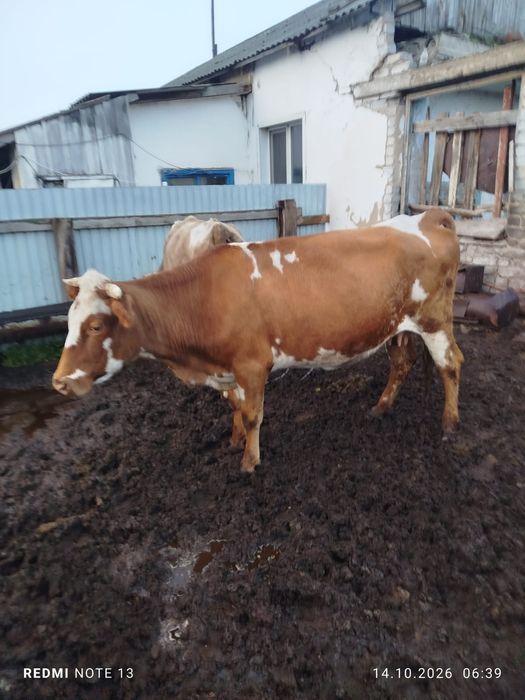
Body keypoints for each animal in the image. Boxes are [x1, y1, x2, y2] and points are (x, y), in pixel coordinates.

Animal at [52, 208, 463, 473]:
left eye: (95, 326)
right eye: (69, 321)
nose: (60, 382)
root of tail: (427, 216)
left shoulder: (252, 364)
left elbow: (252, 414)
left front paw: (249, 461)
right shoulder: (228, 367)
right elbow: (234, 405)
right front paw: (234, 440)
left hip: (434, 320)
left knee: (451, 365)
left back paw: (449, 424)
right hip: (398, 325)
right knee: (402, 363)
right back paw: (381, 406)